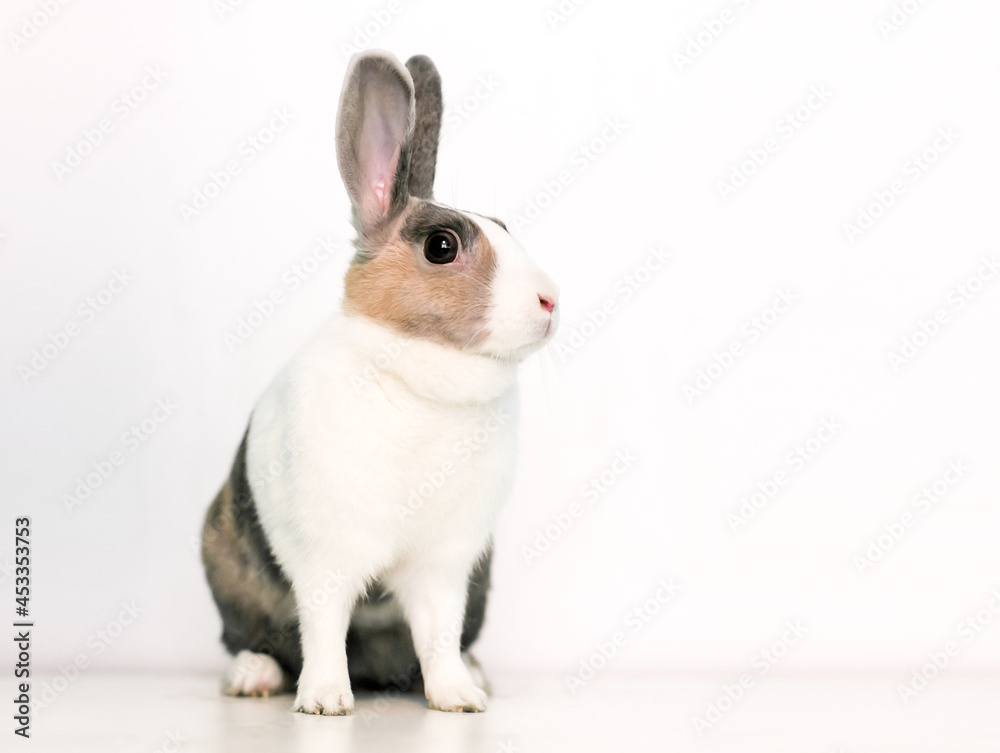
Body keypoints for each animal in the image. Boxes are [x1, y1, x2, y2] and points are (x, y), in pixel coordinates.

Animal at [200, 50, 559, 716]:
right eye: (442, 246)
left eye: (504, 226)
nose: (551, 301)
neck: (420, 380)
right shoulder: (326, 558)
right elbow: (323, 628)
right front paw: (323, 703)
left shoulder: (446, 567)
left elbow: (439, 633)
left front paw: (459, 699)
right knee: (252, 638)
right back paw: (253, 677)